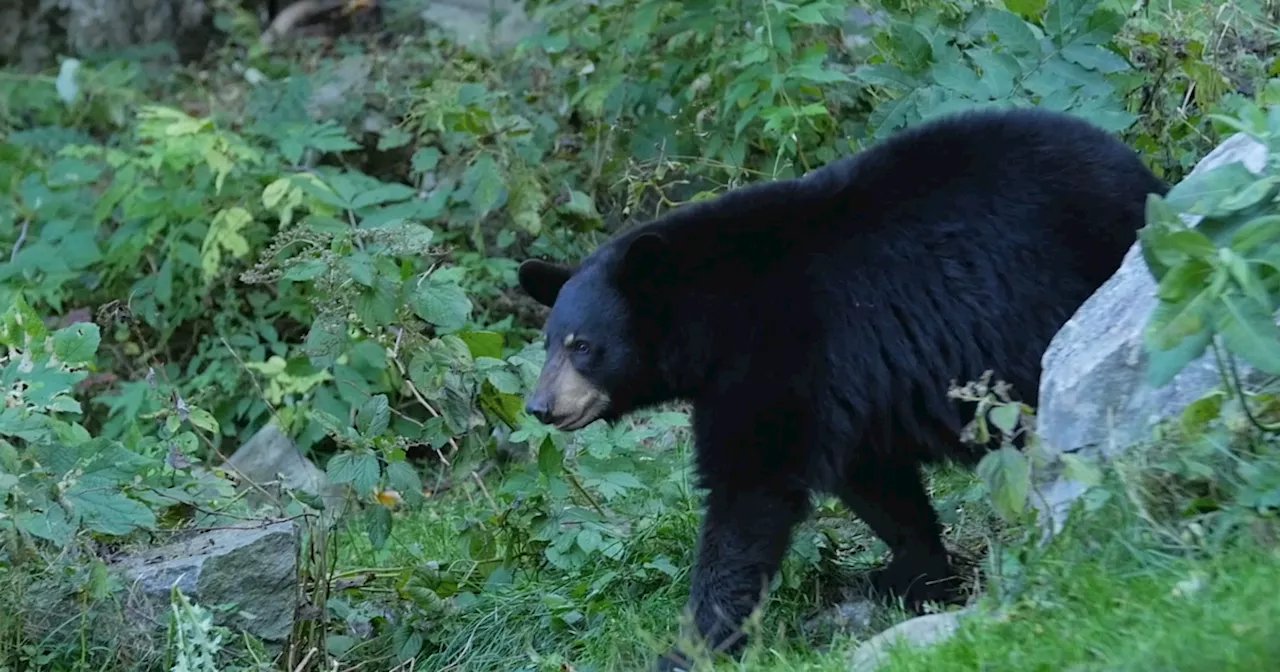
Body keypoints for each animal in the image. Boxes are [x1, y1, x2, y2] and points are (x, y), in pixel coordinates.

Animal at [514, 107, 1167, 665]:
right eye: (548, 343)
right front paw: (914, 576)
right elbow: (874, 479)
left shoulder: (782, 348)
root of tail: (1144, 175)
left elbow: (751, 488)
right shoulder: (849, 379)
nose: (540, 406)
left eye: (583, 345)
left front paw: (691, 647)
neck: (712, 313)